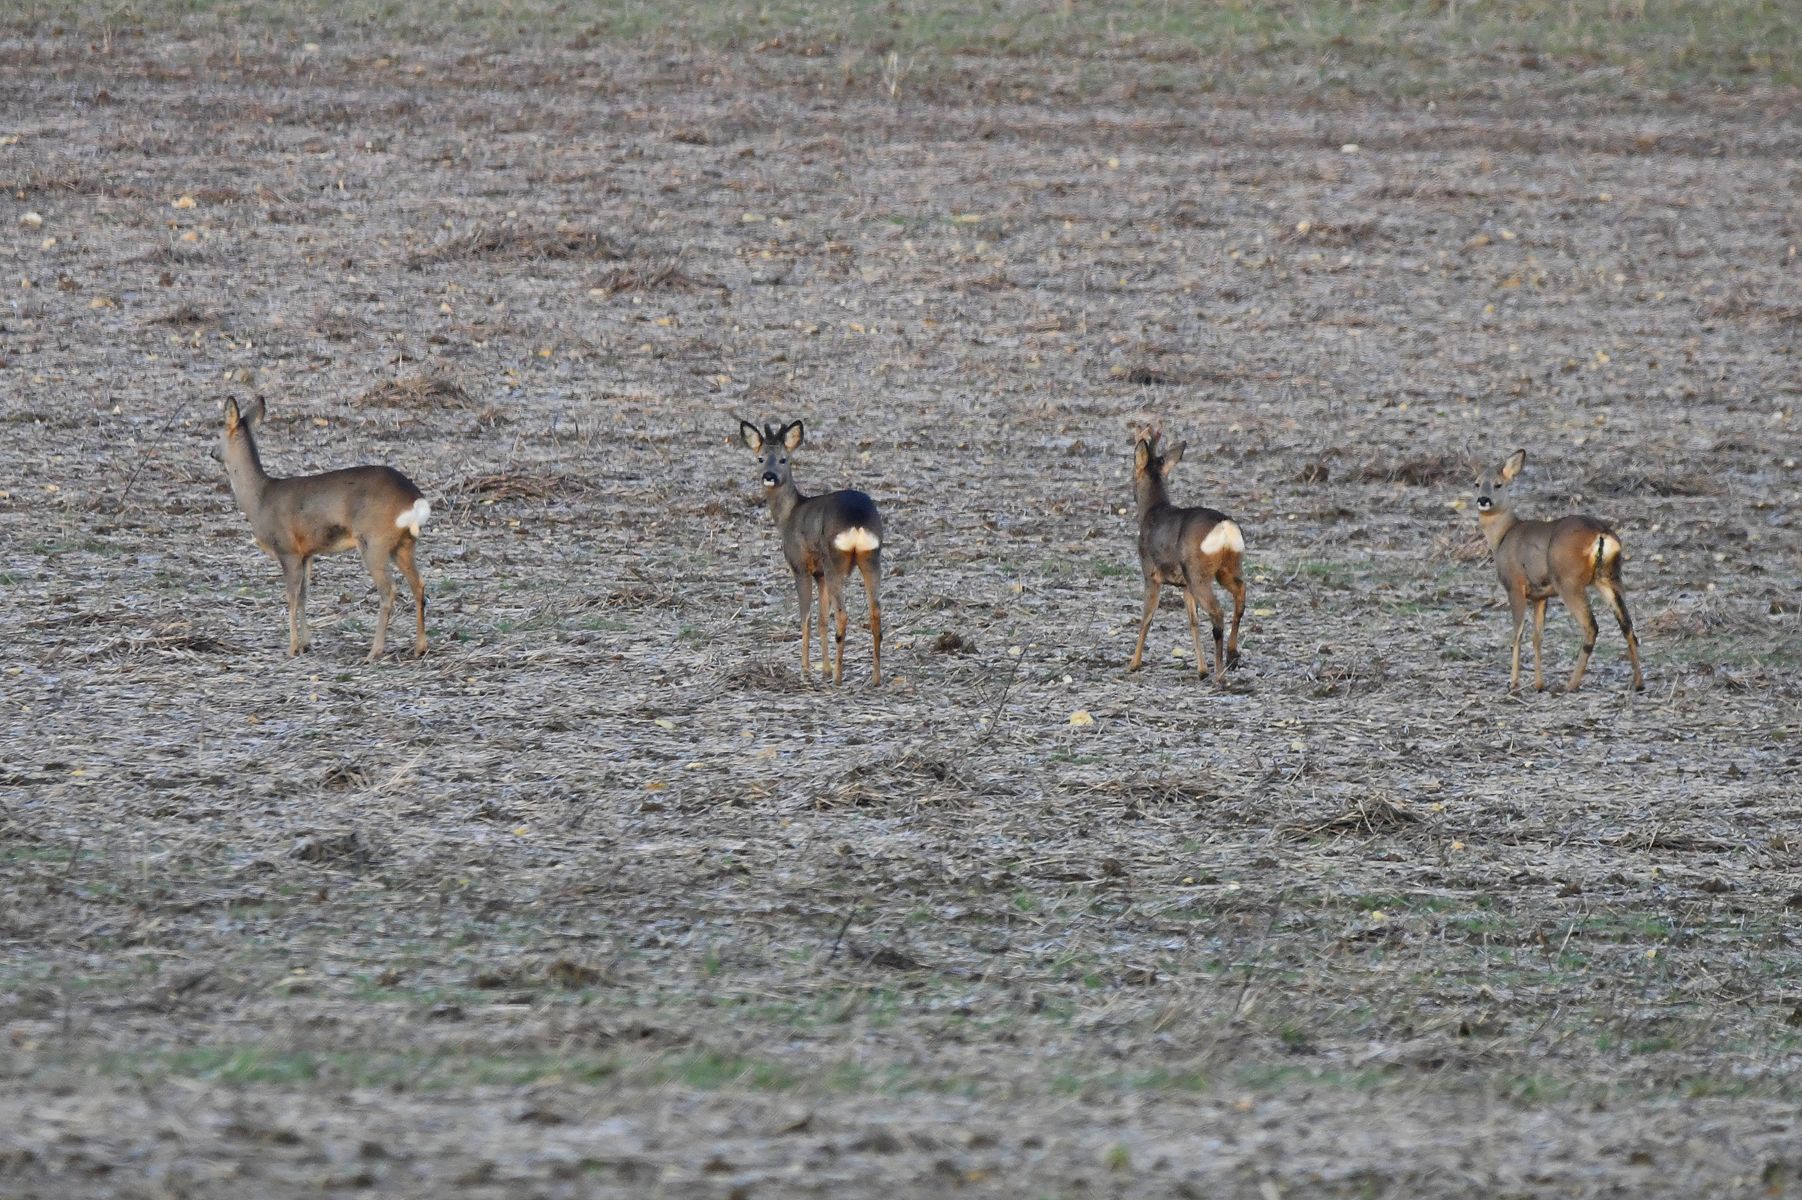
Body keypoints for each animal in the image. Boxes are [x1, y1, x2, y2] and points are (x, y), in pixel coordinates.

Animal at [221, 394, 432, 659]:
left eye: (217, 431)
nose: (212, 453)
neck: (259, 498)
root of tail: (414, 499)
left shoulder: (287, 549)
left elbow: (291, 597)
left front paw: (292, 647)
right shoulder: (307, 553)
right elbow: (303, 596)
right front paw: (306, 643)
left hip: (374, 540)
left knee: (388, 590)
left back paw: (375, 651)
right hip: (404, 544)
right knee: (419, 585)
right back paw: (419, 647)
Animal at [735, 418, 882, 681]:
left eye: (784, 459)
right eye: (760, 458)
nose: (769, 476)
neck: (788, 515)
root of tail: (857, 523)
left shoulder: (800, 566)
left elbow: (806, 617)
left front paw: (805, 668)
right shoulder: (819, 573)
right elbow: (822, 618)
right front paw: (823, 668)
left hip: (835, 560)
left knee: (842, 614)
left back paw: (838, 678)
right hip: (871, 557)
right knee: (875, 613)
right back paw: (874, 679)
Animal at [1131, 423, 1246, 681]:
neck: (1152, 510)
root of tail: (1224, 527)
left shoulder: (1150, 573)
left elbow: (1146, 618)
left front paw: (1133, 664)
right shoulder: (1183, 585)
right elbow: (1192, 621)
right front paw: (1201, 669)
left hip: (1198, 572)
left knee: (1218, 612)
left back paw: (1220, 675)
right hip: (1228, 566)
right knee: (1241, 594)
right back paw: (1232, 656)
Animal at [1470, 448, 1643, 691]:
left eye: (1498, 484)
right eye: (1476, 483)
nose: (1483, 500)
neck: (1503, 537)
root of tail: (1602, 534)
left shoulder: (1515, 585)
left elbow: (1517, 635)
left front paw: (1513, 682)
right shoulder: (1540, 595)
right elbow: (1537, 637)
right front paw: (1538, 684)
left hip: (1569, 581)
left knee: (1591, 626)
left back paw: (1571, 684)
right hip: (1608, 578)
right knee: (1627, 624)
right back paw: (1638, 682)